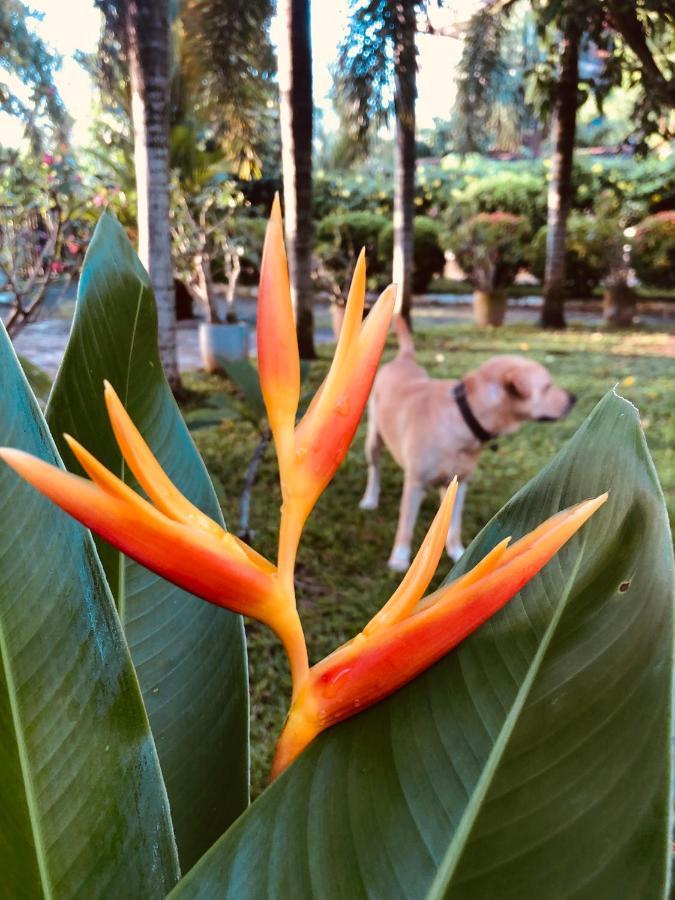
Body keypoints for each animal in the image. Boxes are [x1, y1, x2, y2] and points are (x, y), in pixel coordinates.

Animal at [360, 318, 576, 568]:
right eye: (548, 386)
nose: (573, 398)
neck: (465, 413)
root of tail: (403, 359)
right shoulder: (415, 482)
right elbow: (406, 523)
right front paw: (400, 557)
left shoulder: (460, 483)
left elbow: (453, 525)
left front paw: (458, 553)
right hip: (373, 440)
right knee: (374, 470)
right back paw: (370, 498)